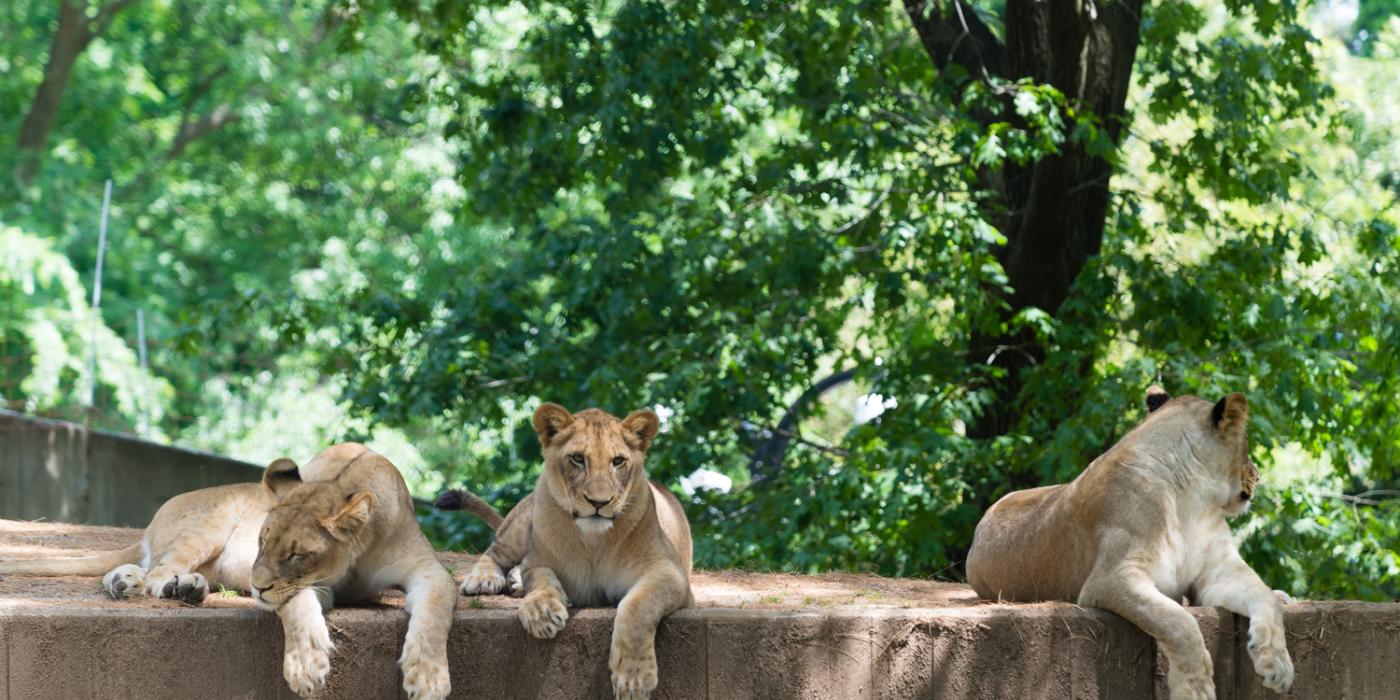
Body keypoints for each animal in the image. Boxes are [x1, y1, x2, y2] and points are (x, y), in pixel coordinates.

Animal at [436, 406, 694, 700]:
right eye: (578, 459)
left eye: (618, 461)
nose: (598, 502)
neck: (594, 542)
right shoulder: (540, 561)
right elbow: (540, 578)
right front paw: (543, 612)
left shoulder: (668, 572)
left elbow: (638, 606)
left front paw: (633, 678)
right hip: (524, 519)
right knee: (496, 550)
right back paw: (485, 579)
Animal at [968, 389, 1293, 700]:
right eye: (1246, 444)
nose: (1257, 475)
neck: (1193, 500)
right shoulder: (1111, 578)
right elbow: (1179, 622)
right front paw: (1194, 689)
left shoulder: (1220, 570)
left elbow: (1263, 595)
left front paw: (1277, 664)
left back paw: (1285, 597)